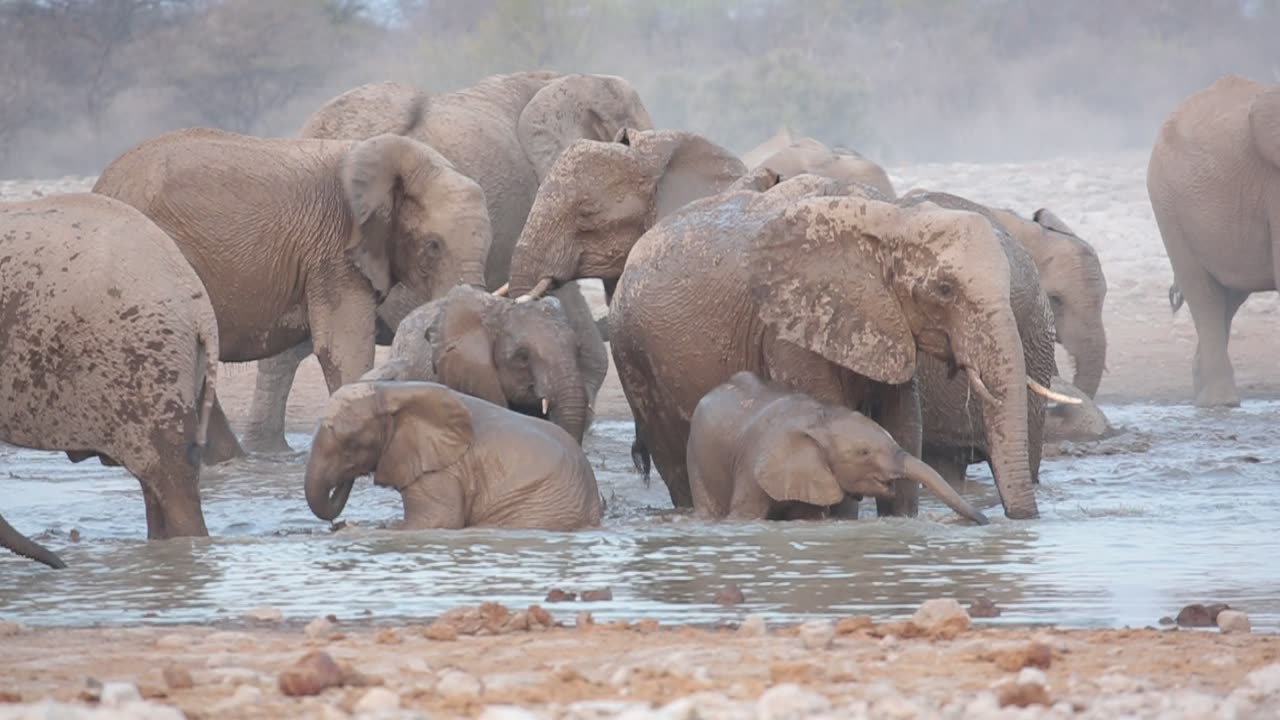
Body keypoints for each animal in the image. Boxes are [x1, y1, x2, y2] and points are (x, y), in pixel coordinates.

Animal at [687, 372, 990, 524]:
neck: (821, 420)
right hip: (697, 457)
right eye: (864, 453)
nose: (985, 520)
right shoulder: (753, 465)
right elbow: (744, 516)